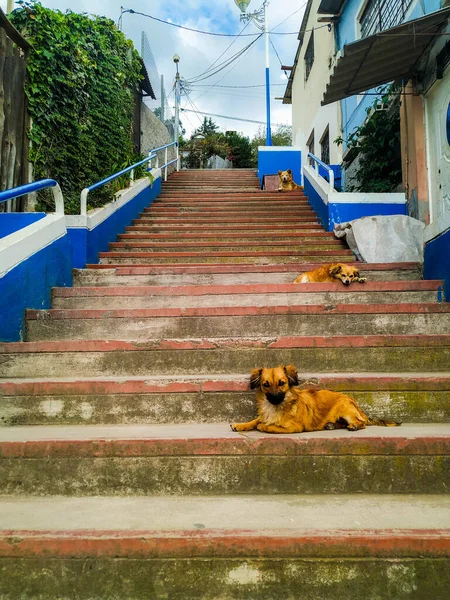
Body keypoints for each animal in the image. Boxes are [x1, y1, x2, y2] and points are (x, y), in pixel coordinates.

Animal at [232, 364, 400, 434]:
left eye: (282, 383)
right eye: (266, 385)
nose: (275, 398)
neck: (274, 407)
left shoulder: (295, 428)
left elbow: (269, 426)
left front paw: (263, 426)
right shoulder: (264, 415)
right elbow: (256, 420)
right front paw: (241, 425)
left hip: (345, 409)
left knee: (361, 423)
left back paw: (353, 426)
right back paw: (331, 425)